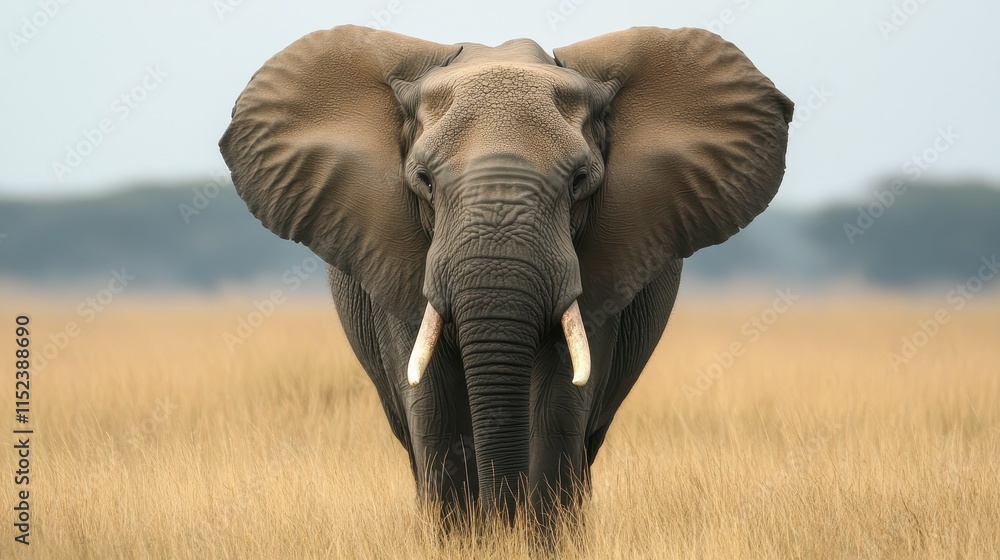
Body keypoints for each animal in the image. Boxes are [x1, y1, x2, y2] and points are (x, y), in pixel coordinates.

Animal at [220, 24, 792, 529]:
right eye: (423, 181)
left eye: (580, 181)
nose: (502, 521)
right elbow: (433, 408)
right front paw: (465, 539)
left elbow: (559, 404)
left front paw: (532, 538)